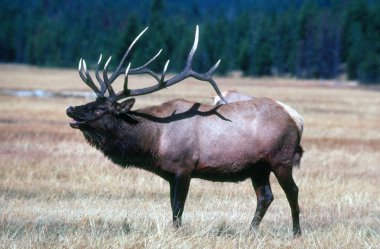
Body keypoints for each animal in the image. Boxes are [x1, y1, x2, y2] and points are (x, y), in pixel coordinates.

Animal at [65, 26, 302, 236]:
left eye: (101, 109)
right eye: (92, 102)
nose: (71, 109)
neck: (154, 140)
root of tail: (296, 118)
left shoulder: (184, 166)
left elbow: (178, 206)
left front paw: (178, 233)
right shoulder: (170, 173)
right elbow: (173, 205)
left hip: (281, 158)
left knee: (292, 191)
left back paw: (296, 232)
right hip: (258, 166)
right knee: (265, 197)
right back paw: (250, 231)